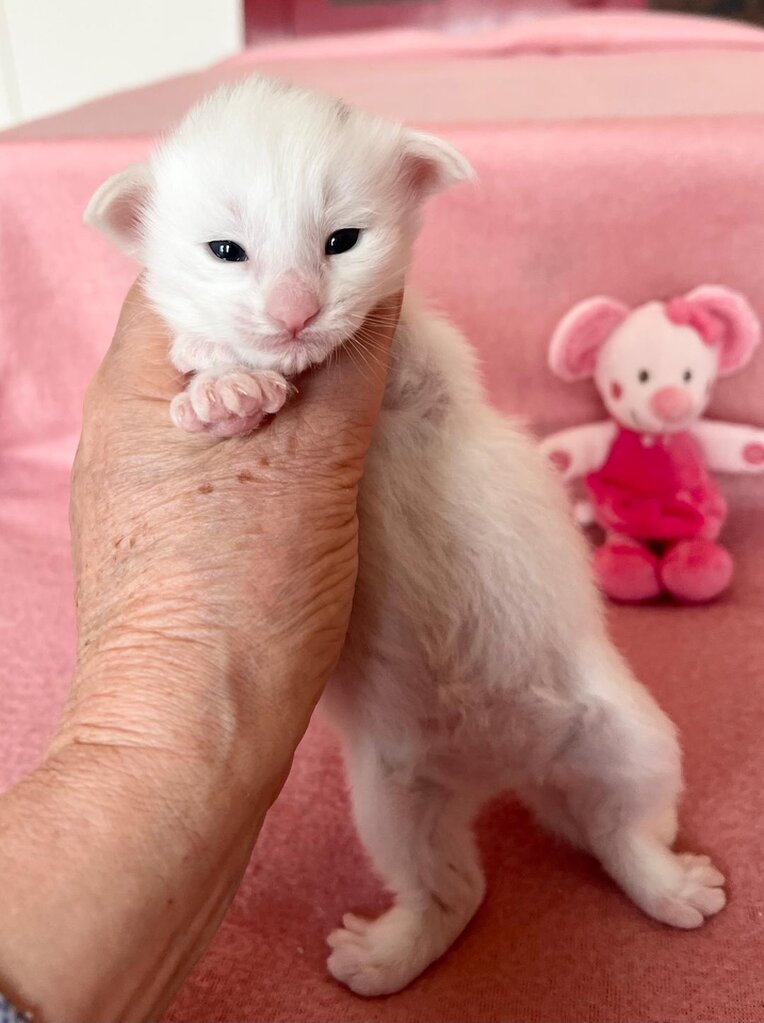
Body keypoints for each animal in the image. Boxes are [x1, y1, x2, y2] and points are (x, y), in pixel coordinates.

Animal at [85, 75, 725, 997]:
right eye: (225, 250)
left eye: (342, 239)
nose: (294, 314)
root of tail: (510, 769)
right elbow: (207, 360)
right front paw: (221, 378)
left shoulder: (421, 368)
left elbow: (402, 351)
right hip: (395, 790)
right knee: (454, 884)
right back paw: (391, 951)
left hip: (626, 732)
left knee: (624, 827)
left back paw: (671, 884)